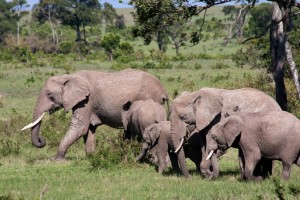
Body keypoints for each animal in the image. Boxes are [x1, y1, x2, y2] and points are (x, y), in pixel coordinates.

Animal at [21, 69, 169, 160]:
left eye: (50, 94)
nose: (42, 140)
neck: (69, 76)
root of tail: (163, 90)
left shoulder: (86, 101)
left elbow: (79, 128)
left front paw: (56, 159)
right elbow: (89, 130)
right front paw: (91, 157)